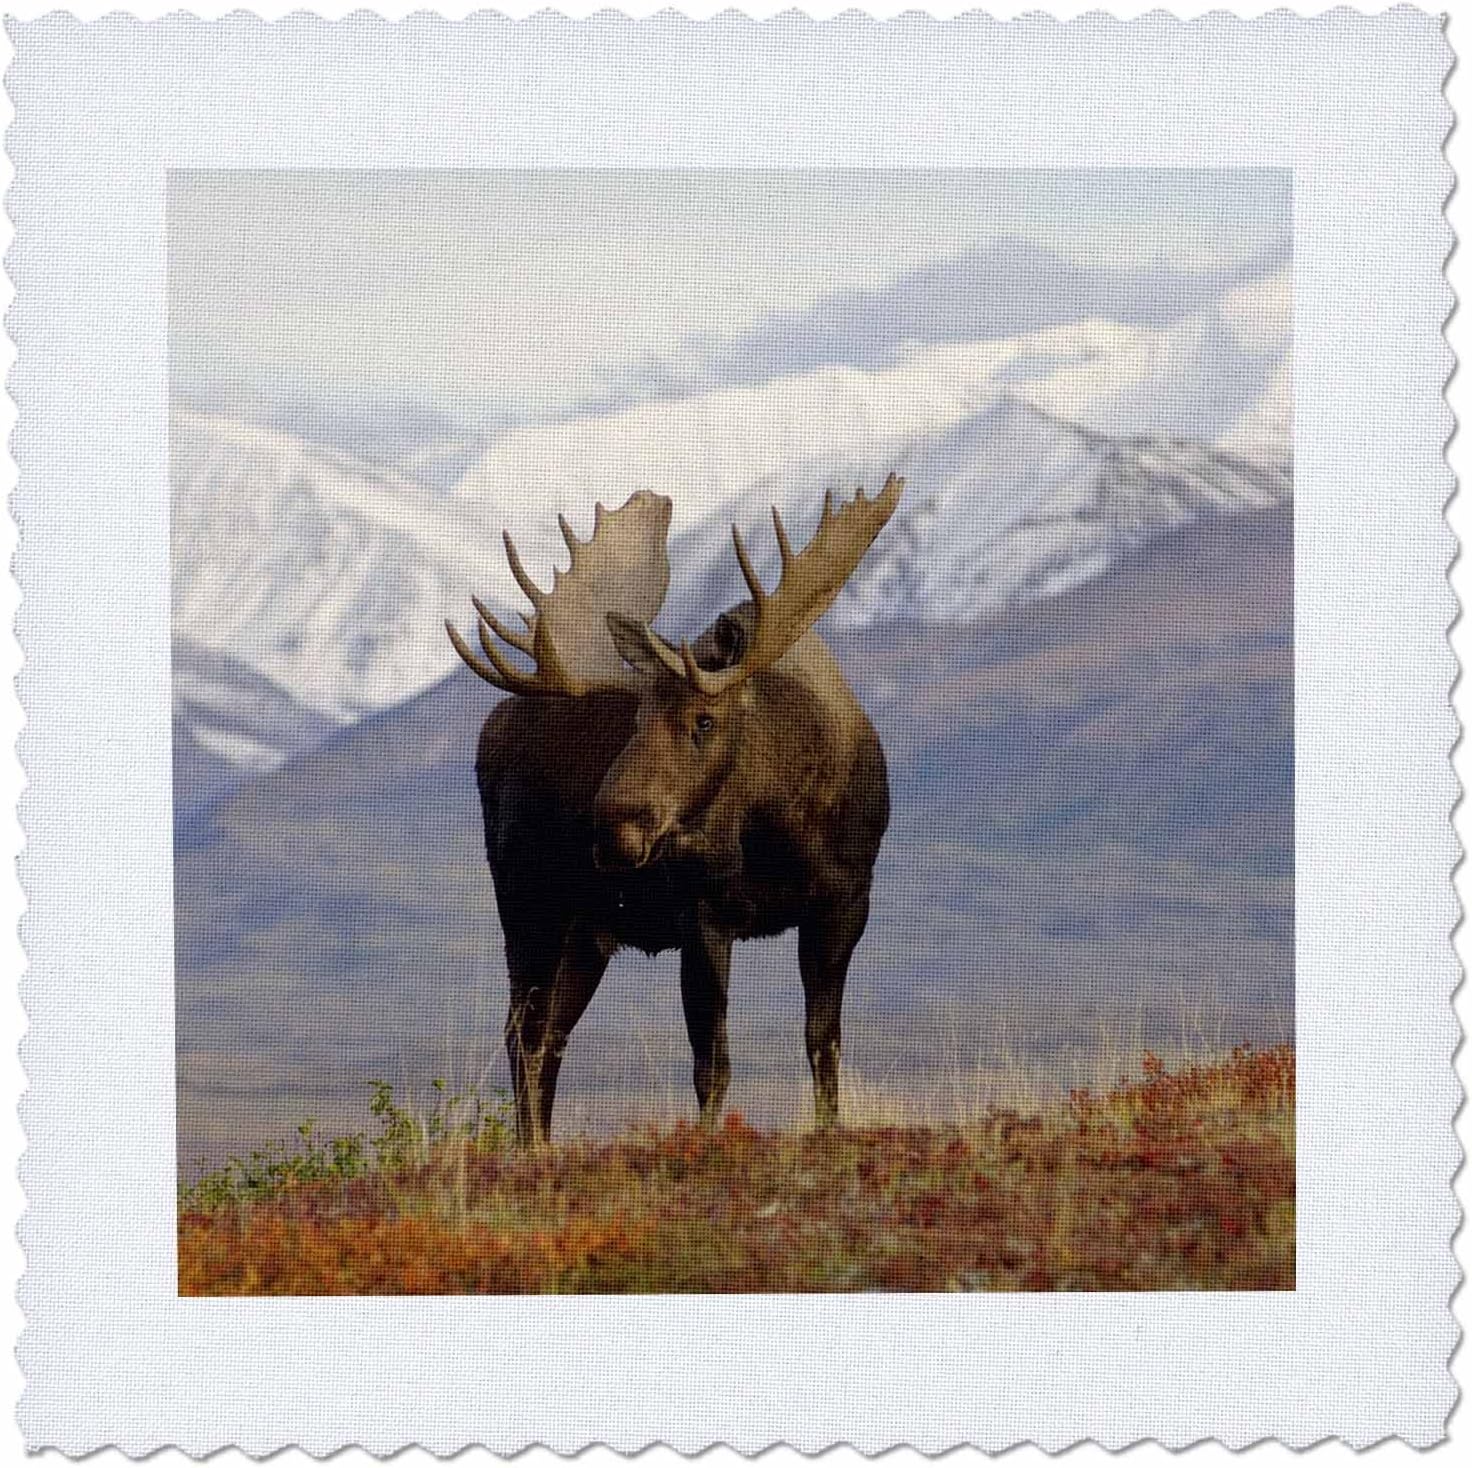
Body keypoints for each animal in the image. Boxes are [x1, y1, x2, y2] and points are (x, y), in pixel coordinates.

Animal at [446, 474, 904, 1147]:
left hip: (587, 933)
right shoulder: (704, 914)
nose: (613, 823)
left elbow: (824, 1044)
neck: (780, 832)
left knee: (550, 1035)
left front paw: (828, 1133)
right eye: (634, 719)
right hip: (530, 906)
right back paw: (530, 1152)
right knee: (523, 1034)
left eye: (703, 720)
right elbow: (712, 1063)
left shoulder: (845, 902)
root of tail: (492, 727)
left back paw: (543, 1149)